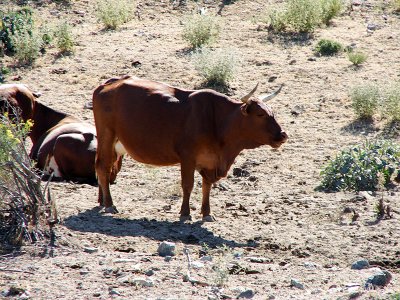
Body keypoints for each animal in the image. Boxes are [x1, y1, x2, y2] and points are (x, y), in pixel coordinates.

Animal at [93, 75, 288, 220]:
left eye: (273, 113)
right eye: (260, 114)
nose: (283, 135)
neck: (217, 121)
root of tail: (110, 84)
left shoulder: (209, 161)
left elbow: (207, 186)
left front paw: (207, 213)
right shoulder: (187, 157)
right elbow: (188, 185)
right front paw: (185, 213)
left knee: (103, 166)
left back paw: (102, 201)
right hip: (106, 135)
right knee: (102, 166)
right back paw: (109, 204)